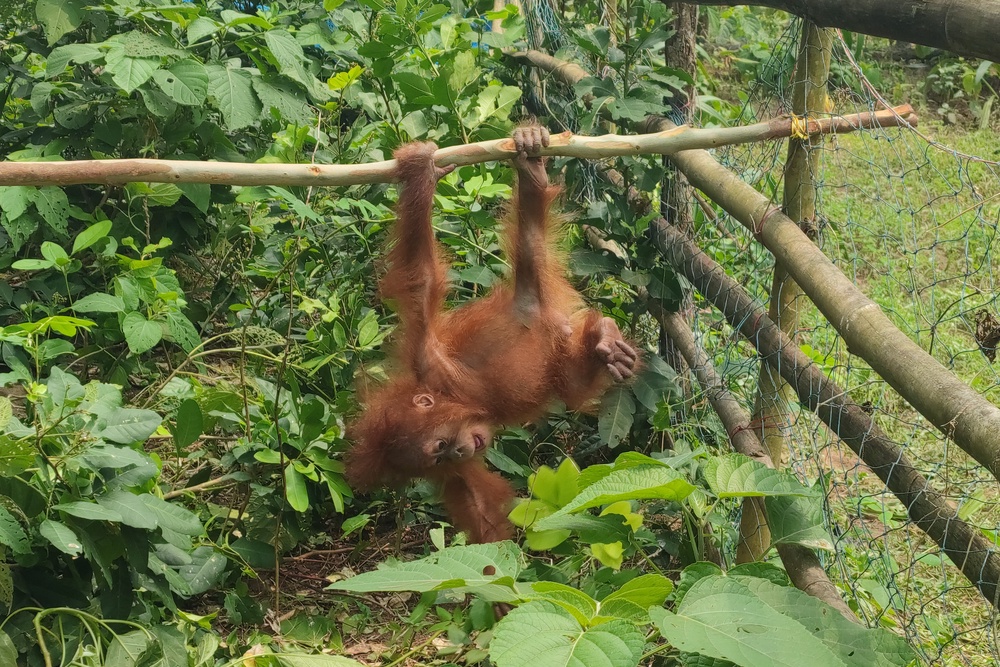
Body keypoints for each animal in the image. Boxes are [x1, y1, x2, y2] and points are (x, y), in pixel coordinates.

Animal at [346, 125, 639, 543]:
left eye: (441, 444)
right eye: (438, 456)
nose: (459, 452)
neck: (458, 399)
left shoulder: (431, 362)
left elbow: (421, 281)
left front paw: (421, 172)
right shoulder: (456, 471)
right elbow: (479, 507)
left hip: (531, 298)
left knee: (530, 242)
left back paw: (531, 170)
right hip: (557, 350)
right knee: (573, 382)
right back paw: (605, 344)